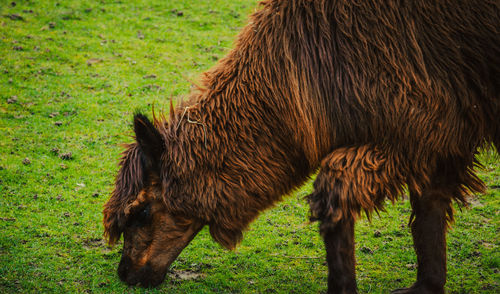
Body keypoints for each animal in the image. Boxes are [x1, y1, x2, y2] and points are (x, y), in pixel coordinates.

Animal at [102, 0, 500, 292]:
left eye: (141, 212)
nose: (126, 273)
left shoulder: (421, 123)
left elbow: (335, 198)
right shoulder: (439, 135)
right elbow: (427, 211)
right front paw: (426, 286)